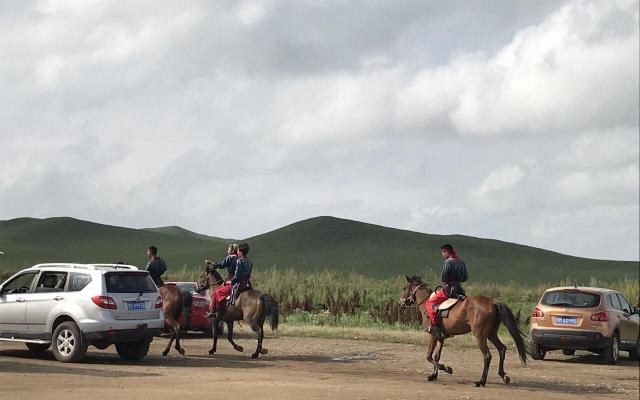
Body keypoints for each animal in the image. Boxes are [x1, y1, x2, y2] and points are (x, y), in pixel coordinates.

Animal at [398, 276, 528, 386]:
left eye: (404, 288)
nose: (401, 303)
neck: (426, 302)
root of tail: (492, 302)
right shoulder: (440, 337)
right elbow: (436, 356)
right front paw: (433, 375)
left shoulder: (433, 335)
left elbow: (429, 356)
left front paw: (447, 369)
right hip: (491, 334)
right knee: (502, 349)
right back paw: (503, 375)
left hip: (480, 336)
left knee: (487, 356)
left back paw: (481, 381)